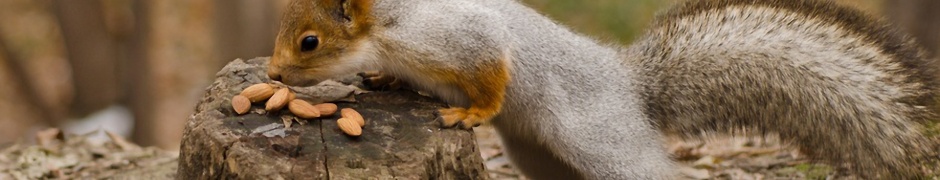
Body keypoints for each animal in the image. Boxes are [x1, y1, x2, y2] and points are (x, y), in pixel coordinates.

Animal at [266, 0, 940, 178]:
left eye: (309, 42)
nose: (272, 76)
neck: (385, 22)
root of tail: (631, 85)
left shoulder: (452, 40)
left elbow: (492, 72)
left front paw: (471, 113)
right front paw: (380, 78)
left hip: (602, 142)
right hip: (538, 154)